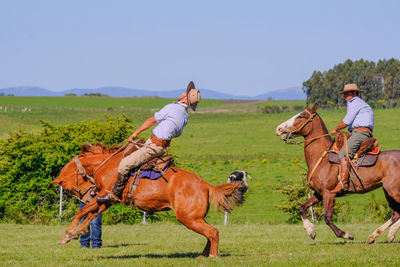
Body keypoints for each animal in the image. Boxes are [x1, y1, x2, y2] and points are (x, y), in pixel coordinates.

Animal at [52, 142, 247, 258]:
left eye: (68, 188)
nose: (88, 196)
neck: (108, 165)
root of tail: (207, 185)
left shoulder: (106, 195)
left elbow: (83, 212)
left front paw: (67, 235)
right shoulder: (107, 200)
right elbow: (90, 214)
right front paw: (77, 232)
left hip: (188, 218)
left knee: (213, 232)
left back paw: (212, 256)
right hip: (195, 218)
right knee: (210, 232)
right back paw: (203, 256)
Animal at [276, 104, 400, 245]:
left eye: (301, 116)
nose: (279, 129)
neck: (322, 159)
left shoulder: (329, 193)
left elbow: (327, 218)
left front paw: (347, 235)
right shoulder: (319, 193)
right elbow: (302, 208)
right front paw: (311, 231)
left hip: (393, 191)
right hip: (388, 191)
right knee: (396, 215)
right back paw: (377, 236)